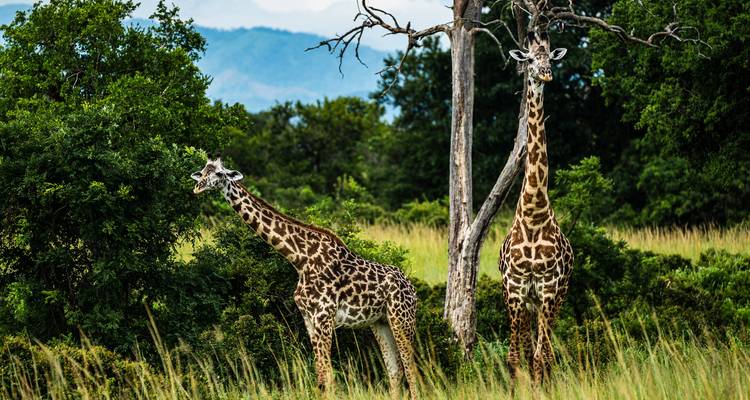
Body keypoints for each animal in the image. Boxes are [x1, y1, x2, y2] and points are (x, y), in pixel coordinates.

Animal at [191, 158, 419, 399]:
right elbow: (320, 374)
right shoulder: (309, 318)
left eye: (219, 173)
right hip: (381, 322)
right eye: (203, 171)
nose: (197, 188)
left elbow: (328, 374)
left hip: (402, 318)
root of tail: (412, 288)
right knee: (395, 370)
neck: (299, 259)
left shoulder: (324, 316)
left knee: (410, 368)